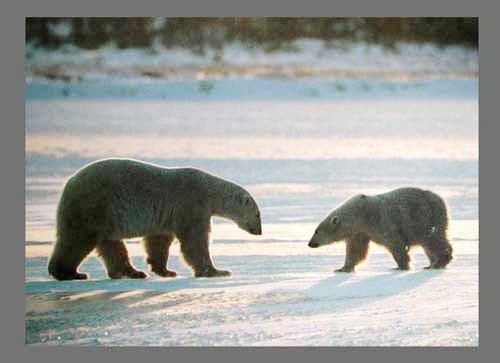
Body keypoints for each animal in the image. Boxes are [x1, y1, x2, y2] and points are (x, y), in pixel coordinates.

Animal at [48, 158, 264, 280]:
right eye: (258, 214)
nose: (259, 231)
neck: (209, 190)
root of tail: (68, 184)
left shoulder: (168, 214)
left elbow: (159, 240)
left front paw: (165, 270)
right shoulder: (192, 203)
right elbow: (194, 240)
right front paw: (216, 271)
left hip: (104, 216)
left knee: (110, 244)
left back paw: (132, 272)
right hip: (92, 205)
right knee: (77, 239)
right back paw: (69, 273)